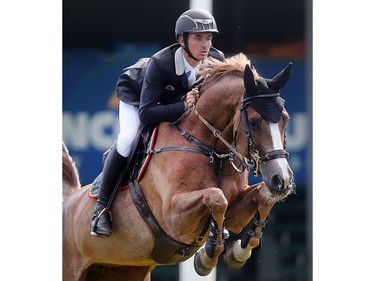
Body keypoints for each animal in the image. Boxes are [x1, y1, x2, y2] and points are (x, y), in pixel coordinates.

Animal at [62, 53, 296, 280]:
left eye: (285, 119)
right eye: (254, 122)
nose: (281, 180)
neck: (210, 148)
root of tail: (69, 198)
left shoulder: (234, 214)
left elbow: (263, 196)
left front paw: (238, 252)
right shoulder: (173, 215)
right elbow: (216, 197)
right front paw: (208, 256)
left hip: (123, 269)